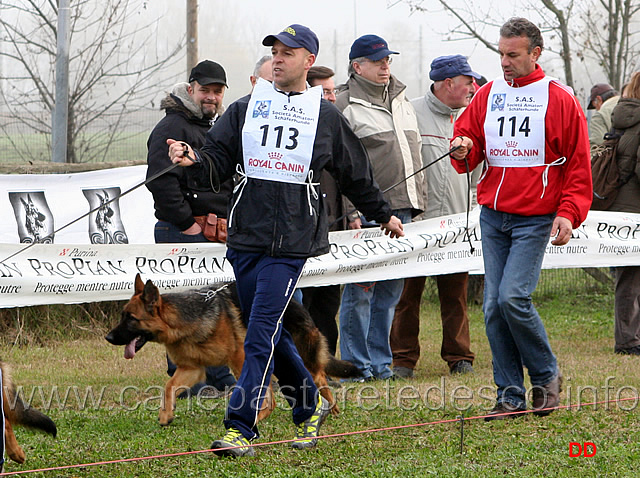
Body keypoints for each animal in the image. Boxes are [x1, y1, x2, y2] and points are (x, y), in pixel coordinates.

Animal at [107, 274, 362, 428]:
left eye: (131, 318)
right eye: (122, 316)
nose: (108, 337)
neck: (182, 321)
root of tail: (295, 304)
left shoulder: (240, 358)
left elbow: (251, 391)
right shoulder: (191, 369)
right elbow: (169, 386)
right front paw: (165, 414)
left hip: (298, 356)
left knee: (319, 378)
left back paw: (328, 408)